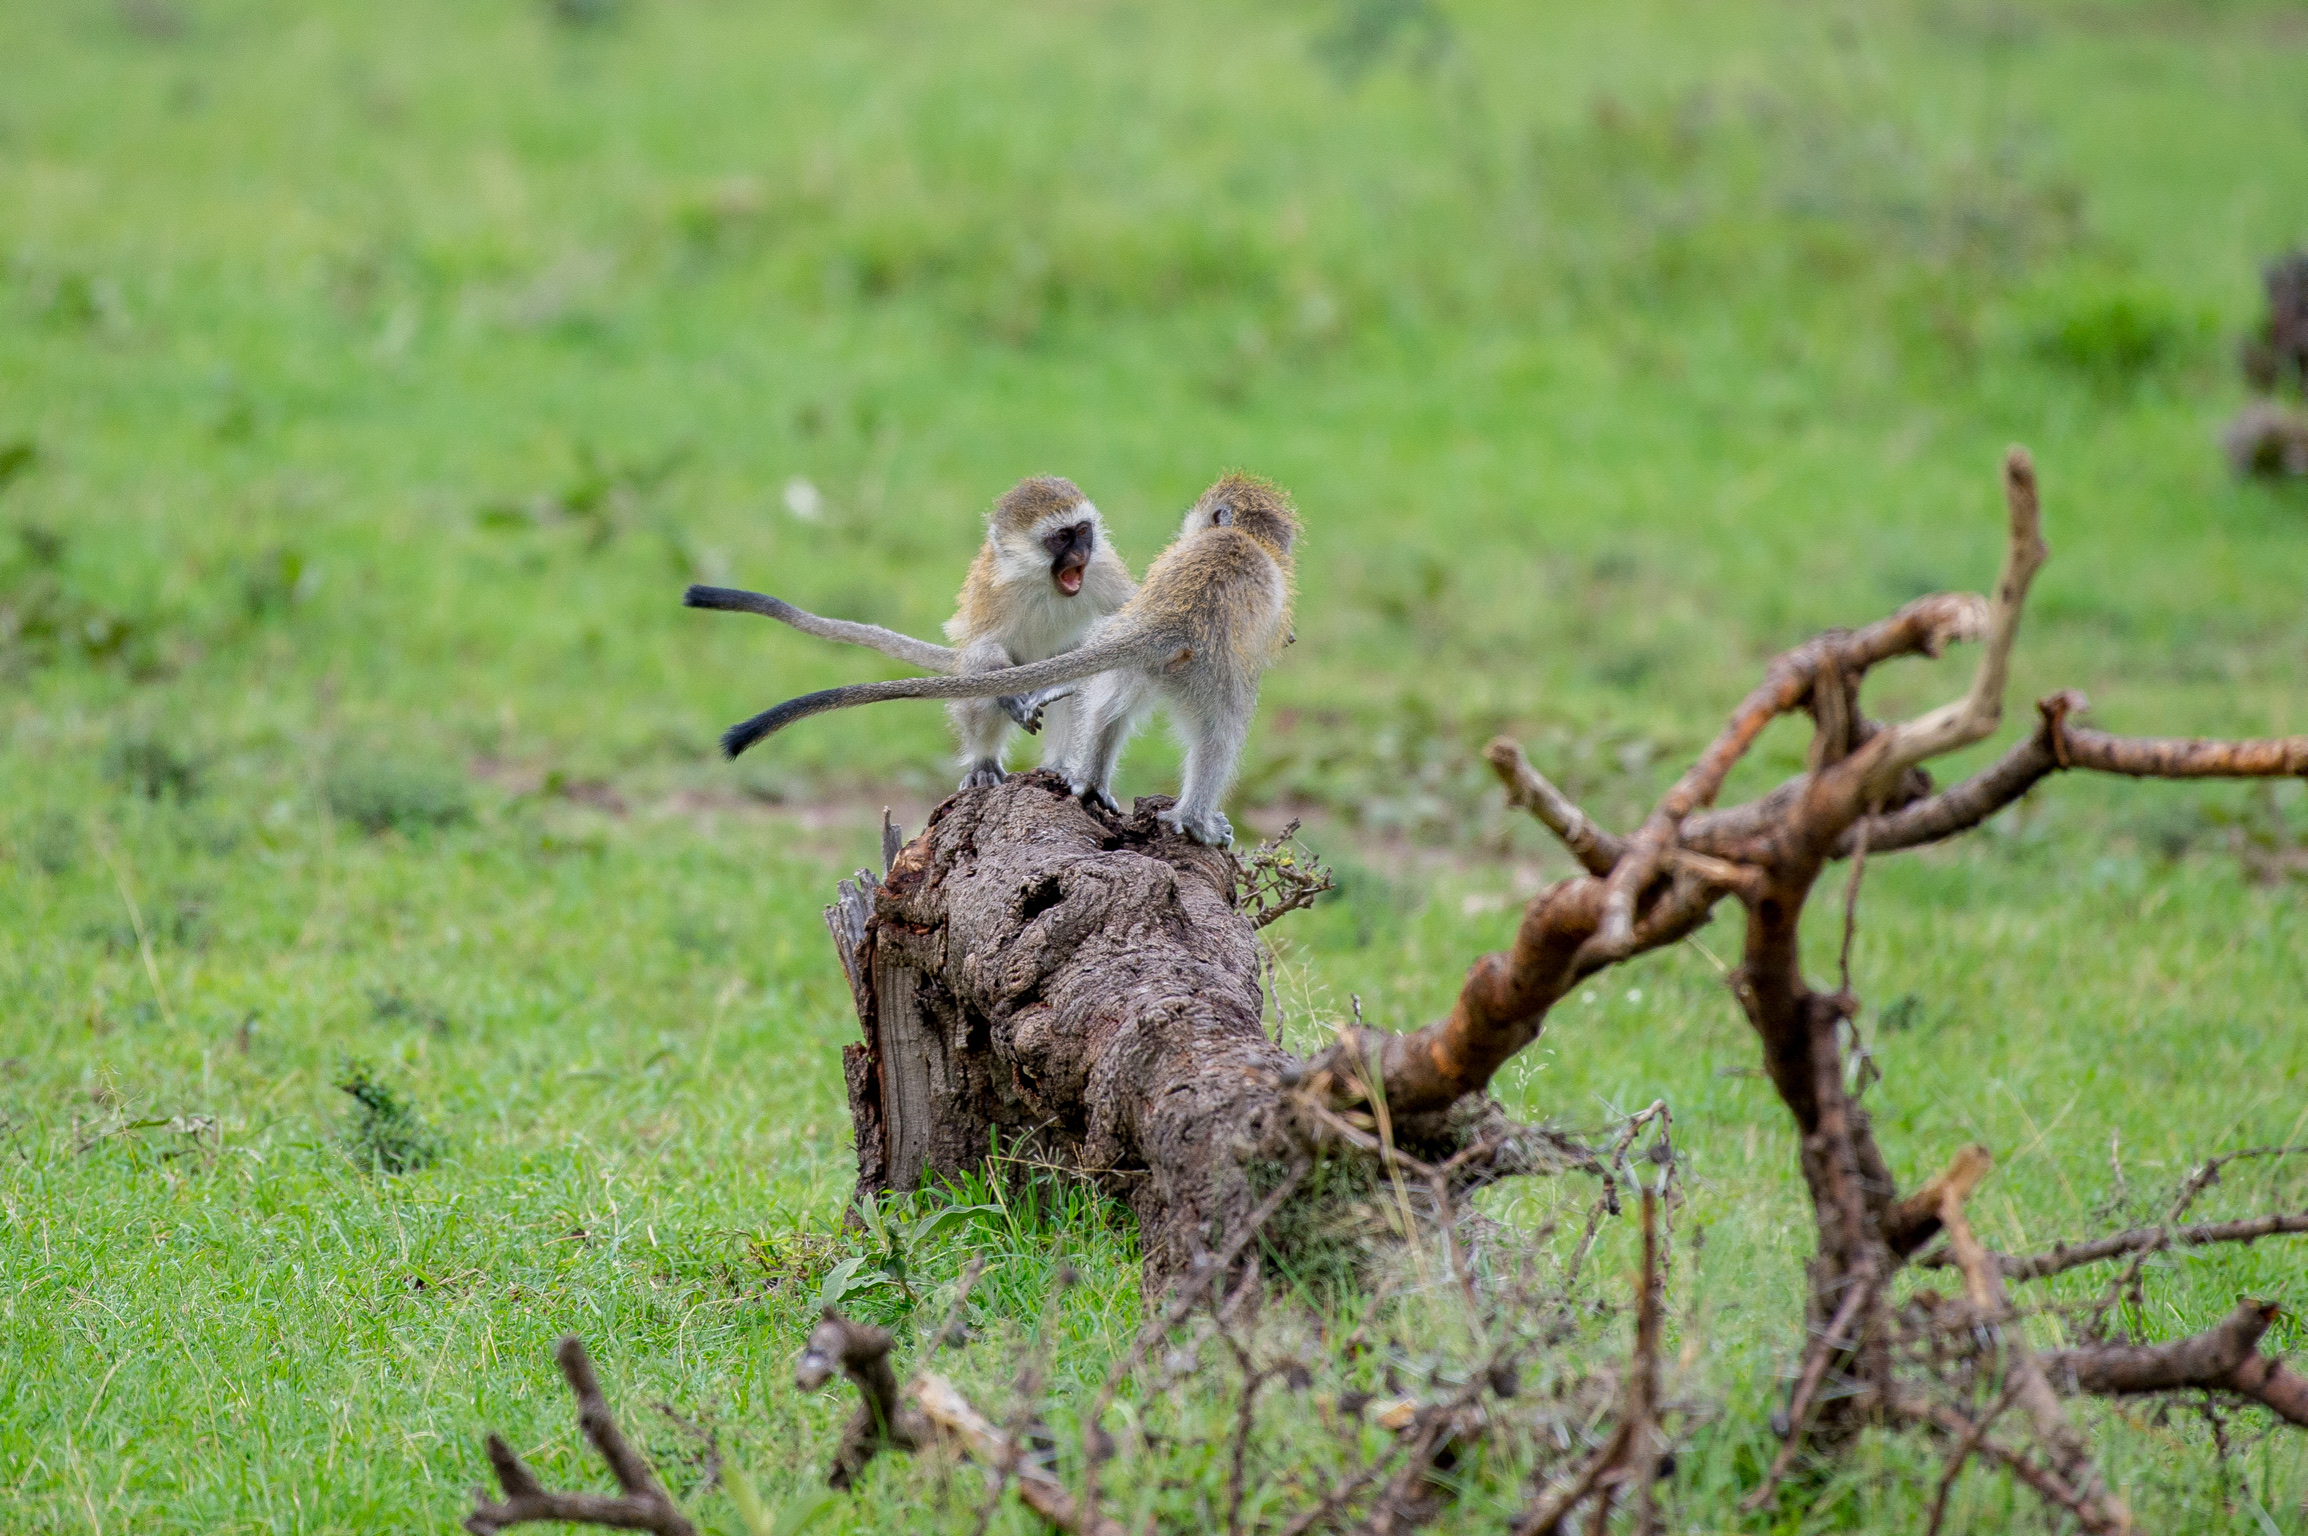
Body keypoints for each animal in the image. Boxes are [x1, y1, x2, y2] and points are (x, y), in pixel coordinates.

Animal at [673, 475, 1135, 788]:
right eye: (1061, 538)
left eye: (1083, 532)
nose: (1080, 553)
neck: (1046, 584)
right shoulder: (994, 593)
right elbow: (982, 652)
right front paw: (1006, 699)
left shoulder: (1104, 571)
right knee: (979, 688)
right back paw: (984, 760)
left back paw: (1058, 765)